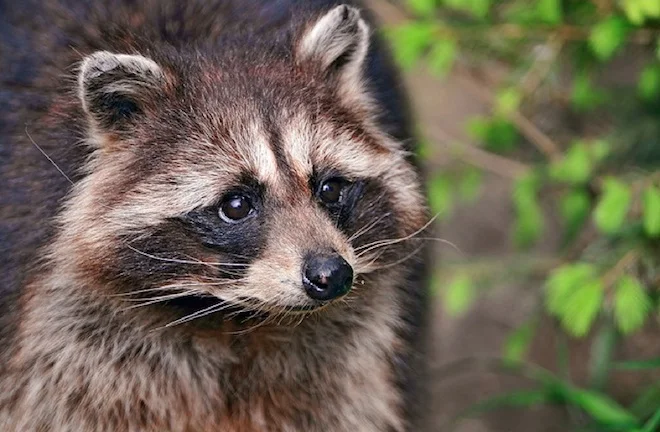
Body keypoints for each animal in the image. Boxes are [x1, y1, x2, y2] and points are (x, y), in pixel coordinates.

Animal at [0, 0, 430, 431]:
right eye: (236, 206)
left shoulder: (342, 367)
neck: (236, 317)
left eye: (329, 189)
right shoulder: (70, 349)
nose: (332, 274)